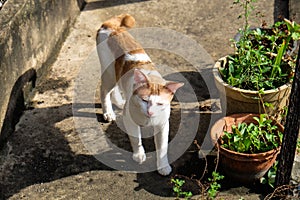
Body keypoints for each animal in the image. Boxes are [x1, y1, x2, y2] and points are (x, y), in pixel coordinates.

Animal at [96, 13, 183, 175]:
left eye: (160, 103)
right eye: (144, 100)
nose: (150, 112)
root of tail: (111, 27)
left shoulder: (163, 125)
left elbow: (162, 147)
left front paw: (163, 166)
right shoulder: (129, 120)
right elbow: (136, 139)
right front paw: (139, 155)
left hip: (115, 74)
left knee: (114, 89)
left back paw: (119, 102)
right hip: (109, 73)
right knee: (104, 90)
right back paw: (108, 112)